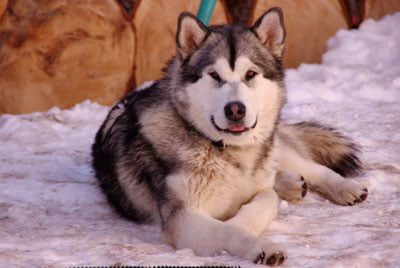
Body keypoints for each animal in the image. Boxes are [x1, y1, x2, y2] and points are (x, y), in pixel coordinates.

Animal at [92, 7, 368, 266]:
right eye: (215, 75)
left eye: (250, 74)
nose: (235, 109)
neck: (225, 151)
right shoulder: (182, 218)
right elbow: (228, 229)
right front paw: (259, 246)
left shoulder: (257, 187)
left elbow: (266, 198)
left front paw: (242, 219)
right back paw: (290, 183)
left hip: (276, 148)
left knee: (308, 167)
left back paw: (344, 187)